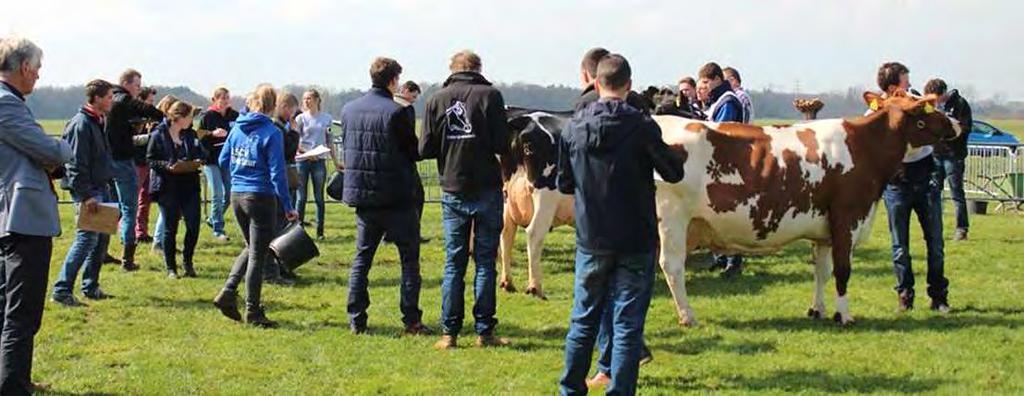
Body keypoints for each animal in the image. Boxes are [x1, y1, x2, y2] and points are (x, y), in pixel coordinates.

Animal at [655, 91, 958, 327]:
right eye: (926, 107)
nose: (956, 122)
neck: (863, 146)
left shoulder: (823, 230)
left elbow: (822, 271)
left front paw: (817, 310)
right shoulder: (847, 217)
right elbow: (843, 270)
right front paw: (844, 316)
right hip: (672, 219)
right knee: (672, 265)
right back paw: (688, 316)